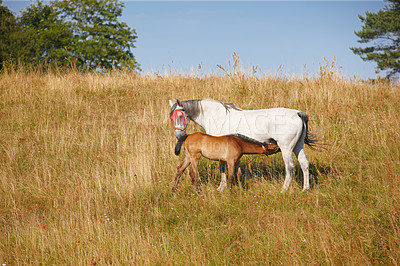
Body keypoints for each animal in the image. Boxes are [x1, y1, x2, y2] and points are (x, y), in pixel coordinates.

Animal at [170, 98, 318, 192]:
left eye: (181, 116)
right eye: (171, 118)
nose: (179, 136)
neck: (215, 115)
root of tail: (298, 113)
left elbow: (222, 167)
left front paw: (221, 188)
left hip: (286, 148)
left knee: (290, 167)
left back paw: (284, 189)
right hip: (297, 146)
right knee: (304, 163)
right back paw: (305, 189)